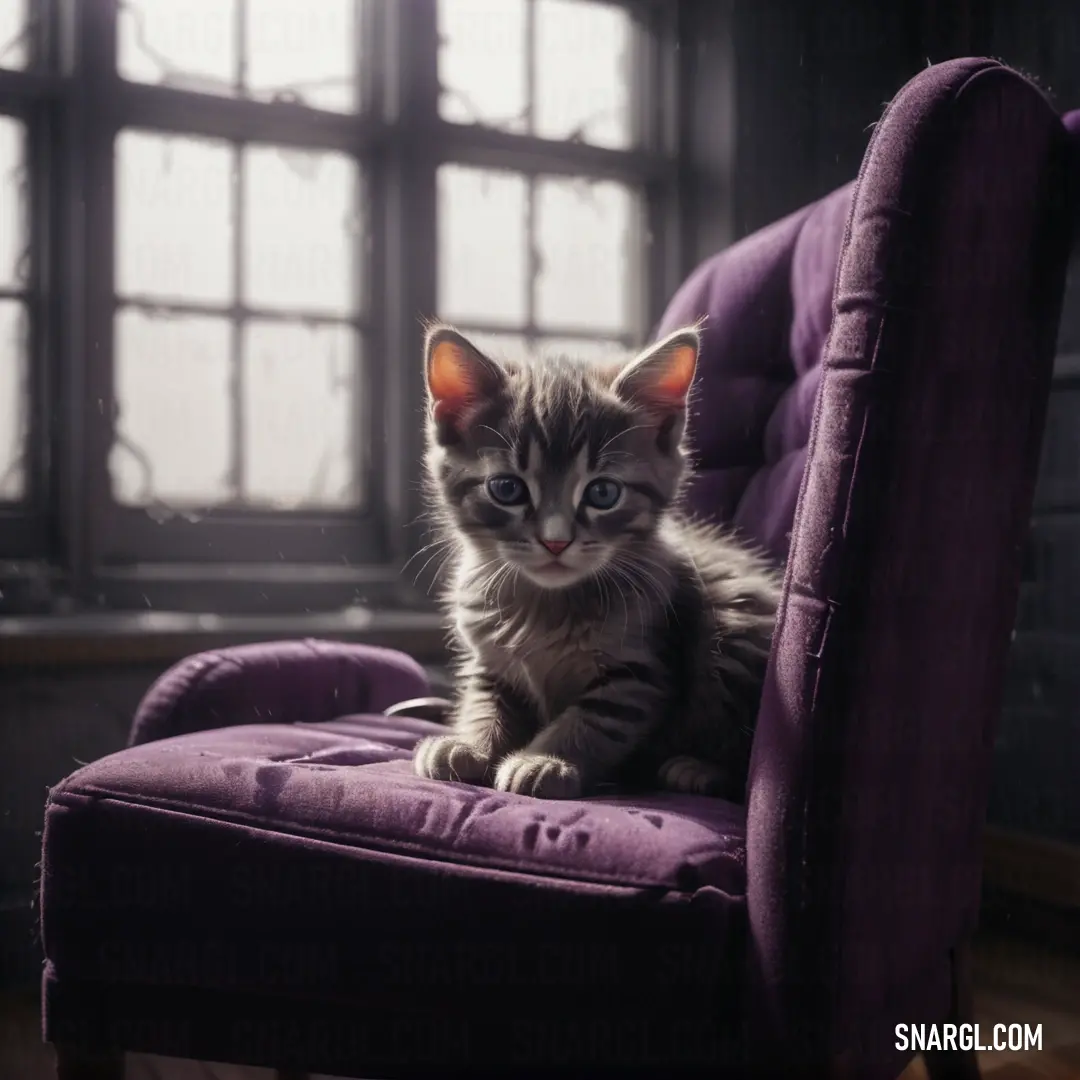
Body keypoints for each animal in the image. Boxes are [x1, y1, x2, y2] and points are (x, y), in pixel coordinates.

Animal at [410, 326, 777, 803]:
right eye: (507, 489)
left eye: (603, 494)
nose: (555, 540)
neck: (543, 606)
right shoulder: (489, 664)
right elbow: (482, 702)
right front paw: (468, 744)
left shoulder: (638, 674)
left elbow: (592, 722)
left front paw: (545, 760)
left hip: (735, 622)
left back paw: (698, 769)